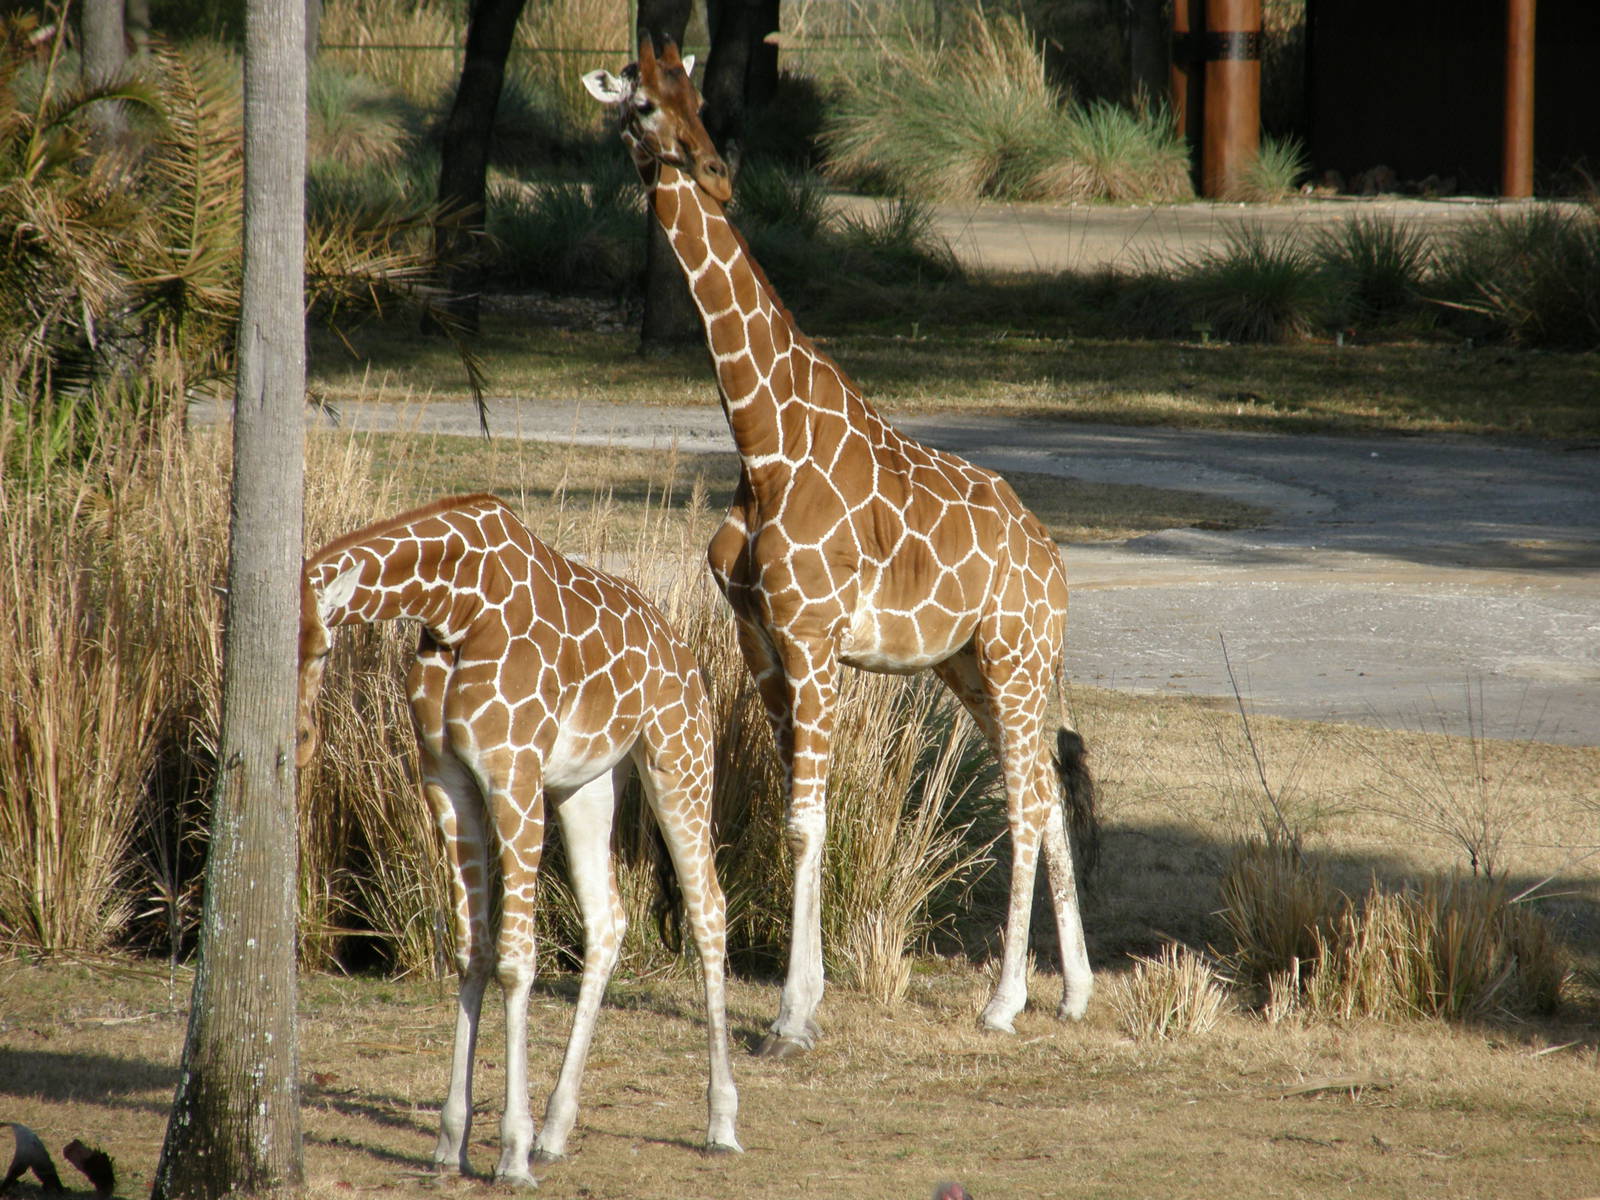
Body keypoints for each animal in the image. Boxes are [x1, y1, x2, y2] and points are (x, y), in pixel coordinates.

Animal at [296, 492, 741, 1183]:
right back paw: (557, 1130)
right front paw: (451, 1141)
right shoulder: (446, 779)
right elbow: (470, 951)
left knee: (707, 910)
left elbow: (514, 959)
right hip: (588, 784)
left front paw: (511, 1151)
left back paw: (720, 1122)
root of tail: (685, 654)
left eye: (320, 648)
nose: (295, 742)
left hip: (679, 758)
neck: (453, 607)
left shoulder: (513, 774)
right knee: (608, 919)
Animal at [583, 39, 1098, 1058]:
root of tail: (1054, 563)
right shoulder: (764, 644)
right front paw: (810, 1002)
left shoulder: (813, 639)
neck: (761, 440)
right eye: (645, 107)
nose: (715, 171)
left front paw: (789, 1016)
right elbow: (798, 817)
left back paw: (1004, 1001)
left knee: (1027, 802)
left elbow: (804, 822)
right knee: (1047, 794)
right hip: (973, 666)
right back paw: (1074, 993)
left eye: (700, 101)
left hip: (1016, 654)